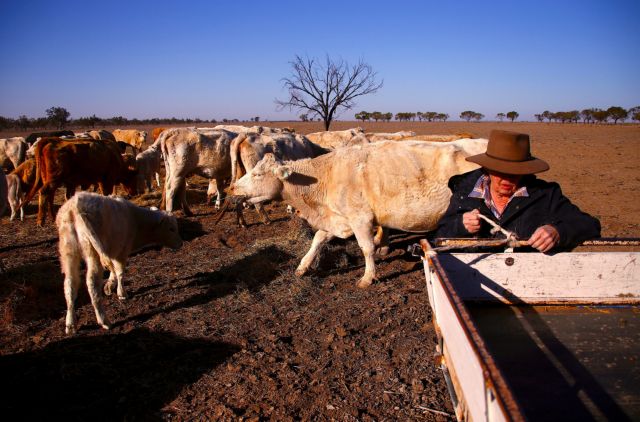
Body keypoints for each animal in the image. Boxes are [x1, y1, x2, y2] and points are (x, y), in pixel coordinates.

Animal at [57, 191, 182, 332]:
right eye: (171, 228)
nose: (180, 243)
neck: (136, 221)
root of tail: (75, 208)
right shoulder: (122, 251)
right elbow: (120, 272)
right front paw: (121, 293)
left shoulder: (113, 251)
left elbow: (114, 271)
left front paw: (110, 285)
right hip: (92, 253)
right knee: (92, 283)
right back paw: (104, 320)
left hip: (68, 253)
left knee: (70, 284)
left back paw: (70, 323)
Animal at [232, 138, 488, 286]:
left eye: (257, 174)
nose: (232, 188)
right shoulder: (339, 219)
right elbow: (318, 239)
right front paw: (302, 267)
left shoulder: (360, 218)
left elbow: (366, 248)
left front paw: (367, 277)